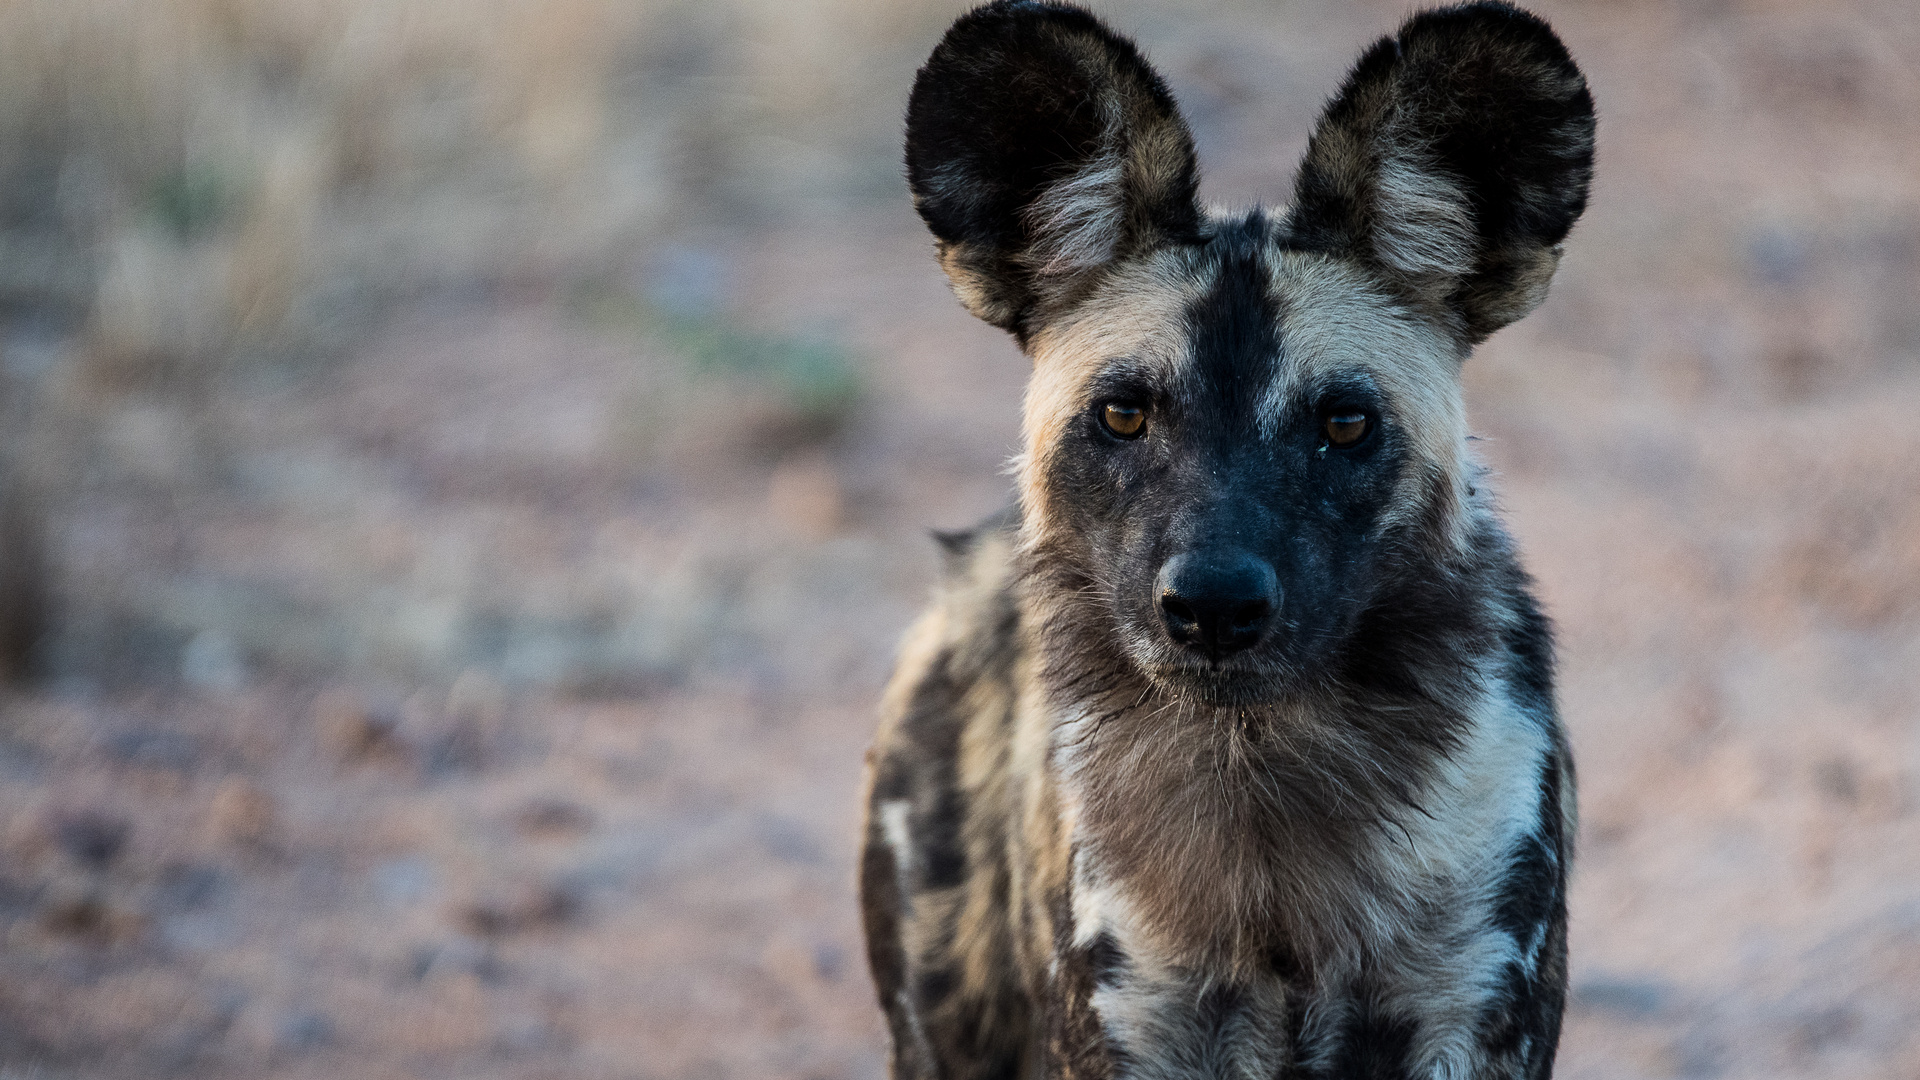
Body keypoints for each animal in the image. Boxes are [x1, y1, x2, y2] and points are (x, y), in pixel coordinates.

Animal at [864, 4, 1597, 1068]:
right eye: (1124, 414)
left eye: (1344, 423)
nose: (1212, 606)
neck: (1258, 778)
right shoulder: (1133, 1024)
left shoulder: (1468, 1010)